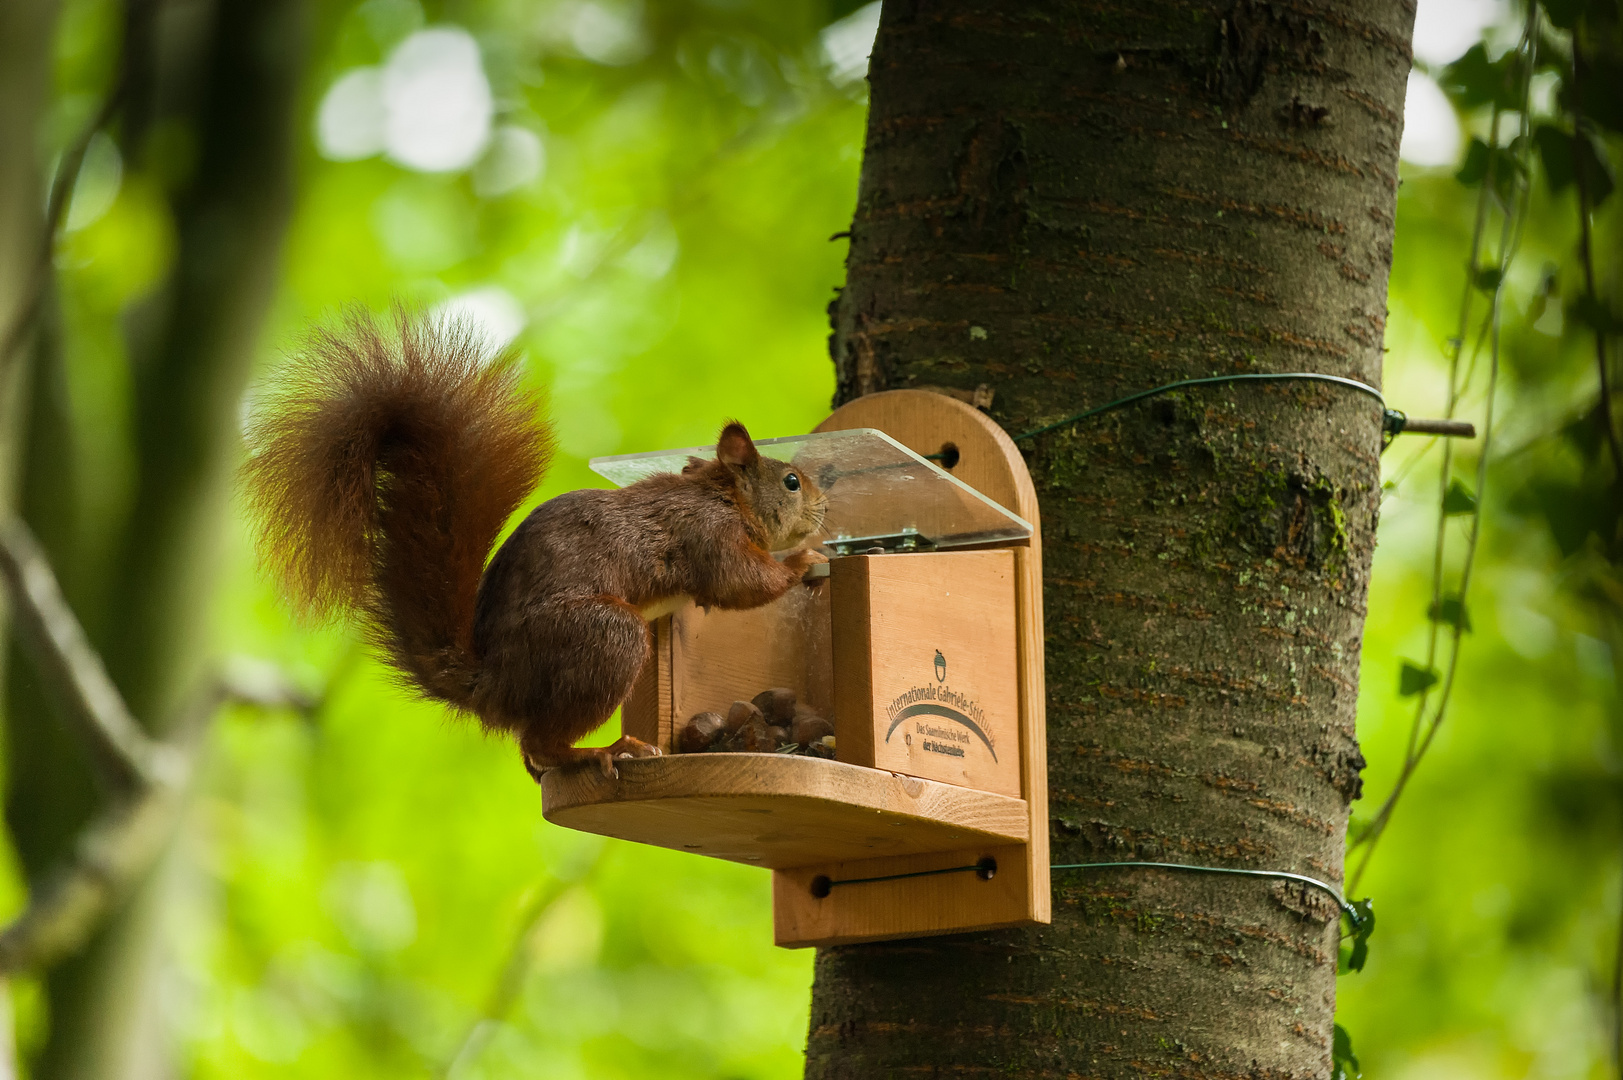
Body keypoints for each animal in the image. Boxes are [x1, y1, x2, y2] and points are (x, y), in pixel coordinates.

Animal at [241, 310, 830, 776]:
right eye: (791, 482)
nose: (826, 506)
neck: (722, 496)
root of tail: (494, 685)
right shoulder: (707, 534)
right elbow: (741, 583)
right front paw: (804, 562)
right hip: (602, 638)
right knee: (542, 741)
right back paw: (604, 751)